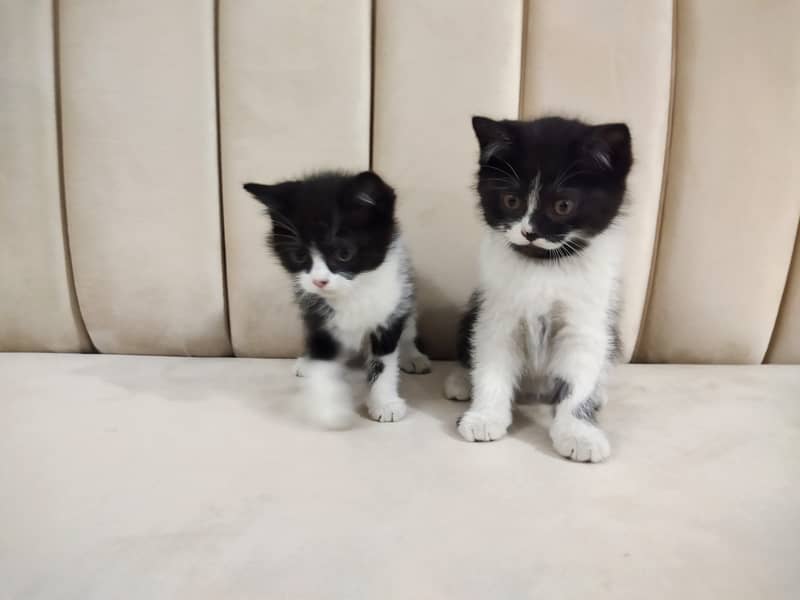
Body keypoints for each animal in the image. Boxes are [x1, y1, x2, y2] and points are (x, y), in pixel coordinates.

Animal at [245, 171, 428, 428]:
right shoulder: (317, 312)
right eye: (299, 256)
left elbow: (384, 360)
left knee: (409, 328)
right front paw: (330, 407)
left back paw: (413, 356)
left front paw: (385, 403)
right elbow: (324, 356)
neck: (352, 290)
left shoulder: (391, 306)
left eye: (344, 254)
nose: (319, 281)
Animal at [444, 117, 632, 464]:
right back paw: (462, 379)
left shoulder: (586, 322)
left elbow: (580, 376)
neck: (544, 266)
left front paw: (579, 433)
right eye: (511, 201)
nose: (529, 232)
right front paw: (485, 416)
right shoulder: (496, 313)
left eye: (563, 205)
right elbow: (491, 362)